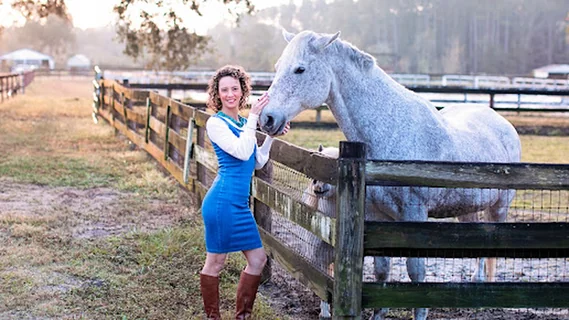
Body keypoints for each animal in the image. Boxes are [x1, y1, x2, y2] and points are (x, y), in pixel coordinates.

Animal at [260, 30, 520, 320]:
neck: (391, 130)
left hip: (500, 207)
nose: (267, 118)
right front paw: (378, 313)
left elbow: (415, 271)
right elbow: (382, 269)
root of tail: (501, 122)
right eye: (277, 67)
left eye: (300, 69)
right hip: (467, 209)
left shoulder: (414, 214)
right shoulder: (377, 215)